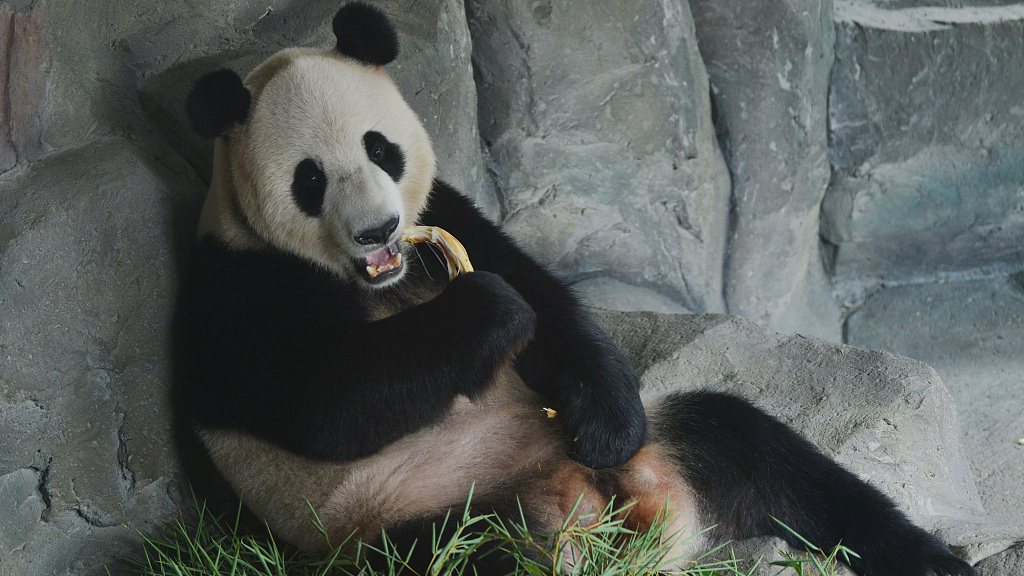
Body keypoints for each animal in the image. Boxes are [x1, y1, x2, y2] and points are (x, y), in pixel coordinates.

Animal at [174, 2, 974, 569]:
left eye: (381, 149)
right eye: (310, 179)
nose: (378, 230)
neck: (385, 282)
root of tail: (607, 507)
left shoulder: (448, 209)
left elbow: (553, 304)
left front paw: (604, 417)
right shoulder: (236, 286)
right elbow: (329, 403)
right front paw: (487, 311)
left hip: (667, 443)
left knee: (767, 458)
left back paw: (929, 560)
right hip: (410, 516)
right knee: (477, 554)